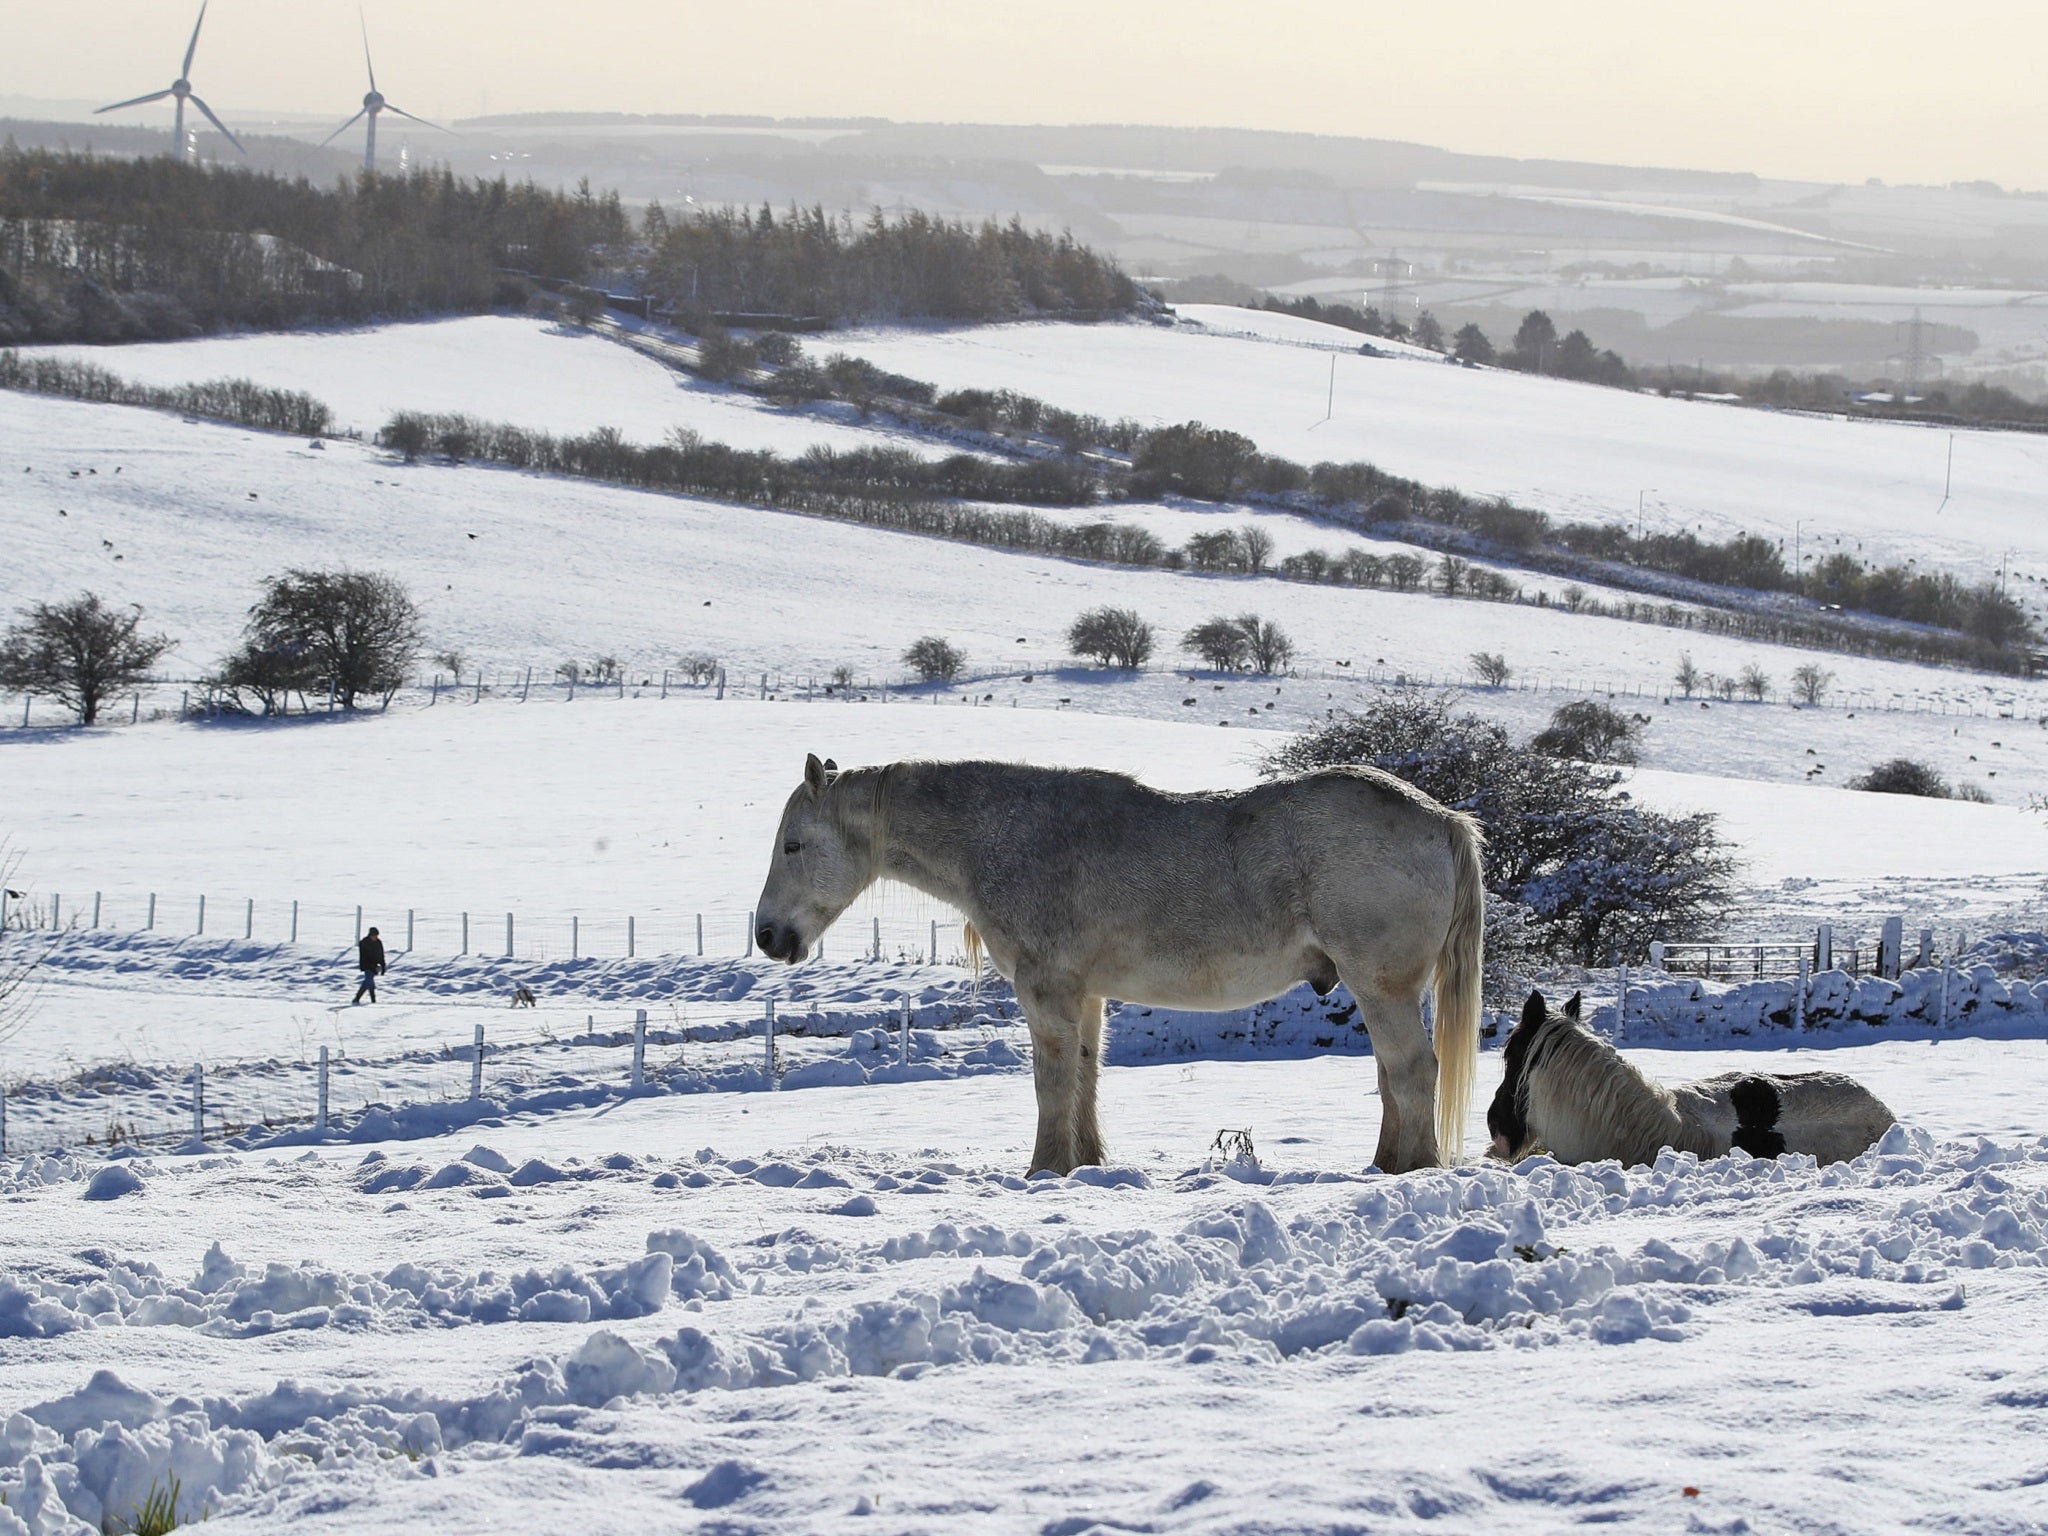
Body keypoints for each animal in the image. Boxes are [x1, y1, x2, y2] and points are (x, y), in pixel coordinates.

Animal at [761, 757, 1482, 1179]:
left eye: (794, 845)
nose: (768, 936)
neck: (1007, 835)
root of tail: (1444, 817)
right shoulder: (1084, 996)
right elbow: (1085, 1079)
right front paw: (1084, 1164)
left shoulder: (1046, 991)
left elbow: (1052, 1085)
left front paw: (1044, 1171)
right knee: (1393, 1078)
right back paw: (1385, 1165)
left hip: (1381, 987)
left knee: (1413, 1073)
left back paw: (1411, 1170)